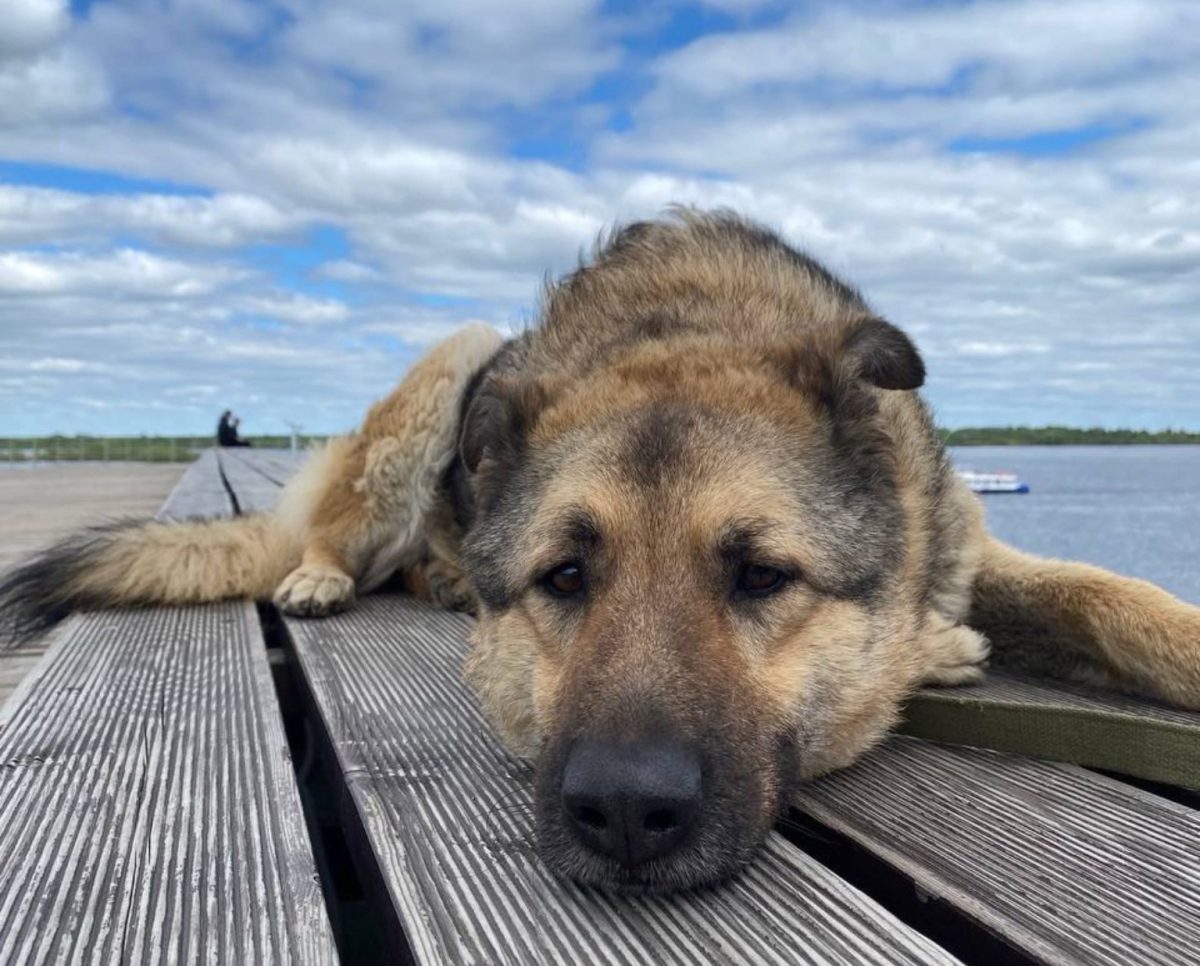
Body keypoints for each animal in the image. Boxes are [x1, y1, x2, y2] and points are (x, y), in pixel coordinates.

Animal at [2, 211, 1200, 888]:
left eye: (762, 576)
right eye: (564, 577)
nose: (626, 811)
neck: (691, 322)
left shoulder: (967, 545)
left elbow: (1105, 594)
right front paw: (930, 655)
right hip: (452, 365)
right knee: (345, 533)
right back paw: (325, 575)